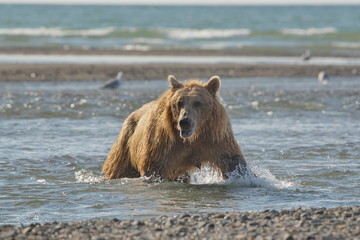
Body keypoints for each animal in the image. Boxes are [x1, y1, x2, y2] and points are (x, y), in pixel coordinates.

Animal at [101, 75, 248, 180]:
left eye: (197, 103)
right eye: (179, 102)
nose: (184, 121)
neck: (192, 138)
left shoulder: (214, 138)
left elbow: (232, 160)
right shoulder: (163, 144)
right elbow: (153, 168)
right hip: (125, 145)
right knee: (118, 168)